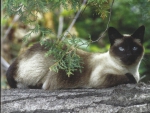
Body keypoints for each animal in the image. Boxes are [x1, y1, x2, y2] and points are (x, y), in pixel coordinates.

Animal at [6, 25, 145, 90]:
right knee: (43, 85)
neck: (131, 69)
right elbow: (130, 78)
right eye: (122, 49)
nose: (129, 55)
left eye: (134, 48)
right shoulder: (99, 78)